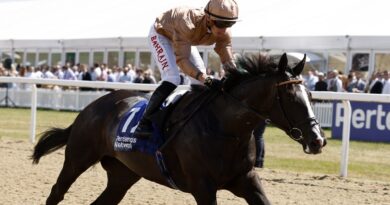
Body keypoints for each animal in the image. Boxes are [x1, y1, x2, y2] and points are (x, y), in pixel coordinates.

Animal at [32, 53, 326, 205]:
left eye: (310, 95)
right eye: (291, 97)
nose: (317, 140)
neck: (226, 128)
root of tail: (92, 107)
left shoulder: (246, 179)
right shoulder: (202, 186)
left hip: (123, 174)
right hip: (78, 158)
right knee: (56, 193)